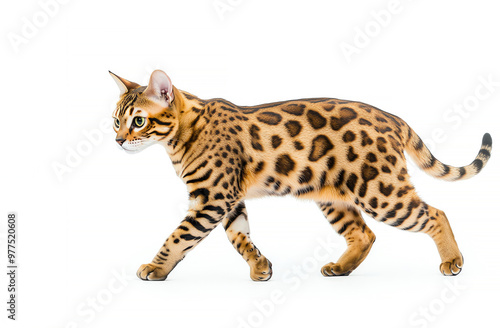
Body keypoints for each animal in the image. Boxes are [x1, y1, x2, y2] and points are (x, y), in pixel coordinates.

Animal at [110, 70, 492, 280]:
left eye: (139, 121)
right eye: (116, 121)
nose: (118, 140)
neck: (183, 136)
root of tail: (393, 117)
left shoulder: (212, 199)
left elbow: (178, 238)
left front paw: (156, 268)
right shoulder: (229, 199)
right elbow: (239, 236)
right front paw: (260, 267)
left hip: (380, 191)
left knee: (436, 213)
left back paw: (452, 260)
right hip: (334, 197)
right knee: (364, 234)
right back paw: (341, 268)